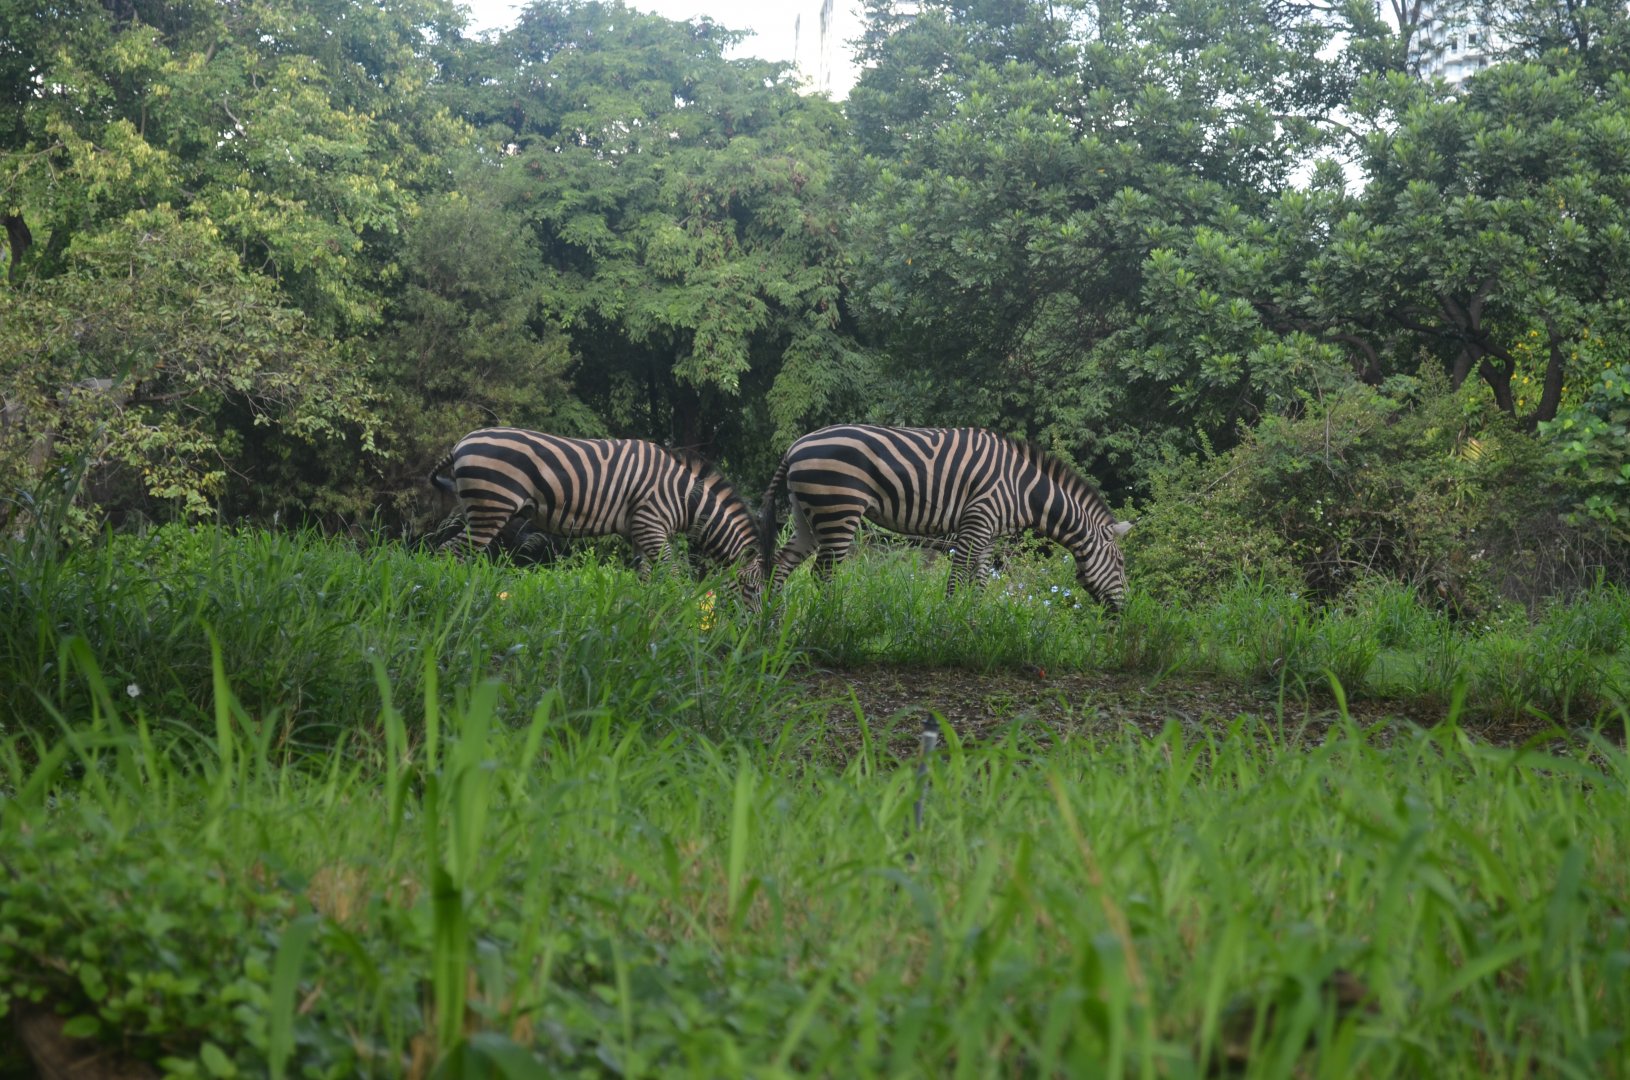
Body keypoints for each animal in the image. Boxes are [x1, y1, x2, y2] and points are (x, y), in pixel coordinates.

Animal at [430, 428, 762, 603]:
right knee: (451, 551)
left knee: (453, 549)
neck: (683, 496)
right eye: (754, 590)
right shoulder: (651, 524)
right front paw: (681, 612)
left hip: (477, 509)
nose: (758, 628)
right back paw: (453, 598)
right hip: (491, 507)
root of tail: (461, 442)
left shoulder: (639, 532)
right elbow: (673, 573)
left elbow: (646, 577)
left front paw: (645, 615)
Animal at [760, 425, 1131, 608]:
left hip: (807, 515)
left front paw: (976, 624)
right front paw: (947, 627)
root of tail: (794, 446)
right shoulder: (976, 522)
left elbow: (979, 584)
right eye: (1121, 563)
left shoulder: (989, 534)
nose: (1126, 610)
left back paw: (775, 621)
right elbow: (957, 581)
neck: (1023, 490)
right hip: (839, 510)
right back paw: (829, 619)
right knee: (822, 574)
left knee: (781, 565)